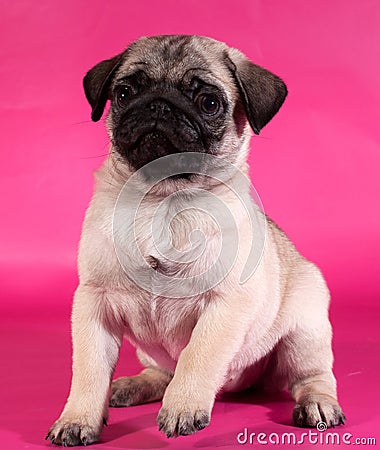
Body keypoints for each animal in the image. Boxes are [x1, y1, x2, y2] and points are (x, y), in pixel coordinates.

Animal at [46, 36, 346, 446]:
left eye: (209, 103)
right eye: (124, 93)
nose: (158, 104)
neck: (162, 198)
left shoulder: (225, 304)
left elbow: (197, 355)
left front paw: (183, 407)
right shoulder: (95, 302)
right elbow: (89, 370)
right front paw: (78, 418)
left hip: (305, 330)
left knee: (311, 376)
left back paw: (317, 404)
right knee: (162, 372)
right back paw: (133, 385)